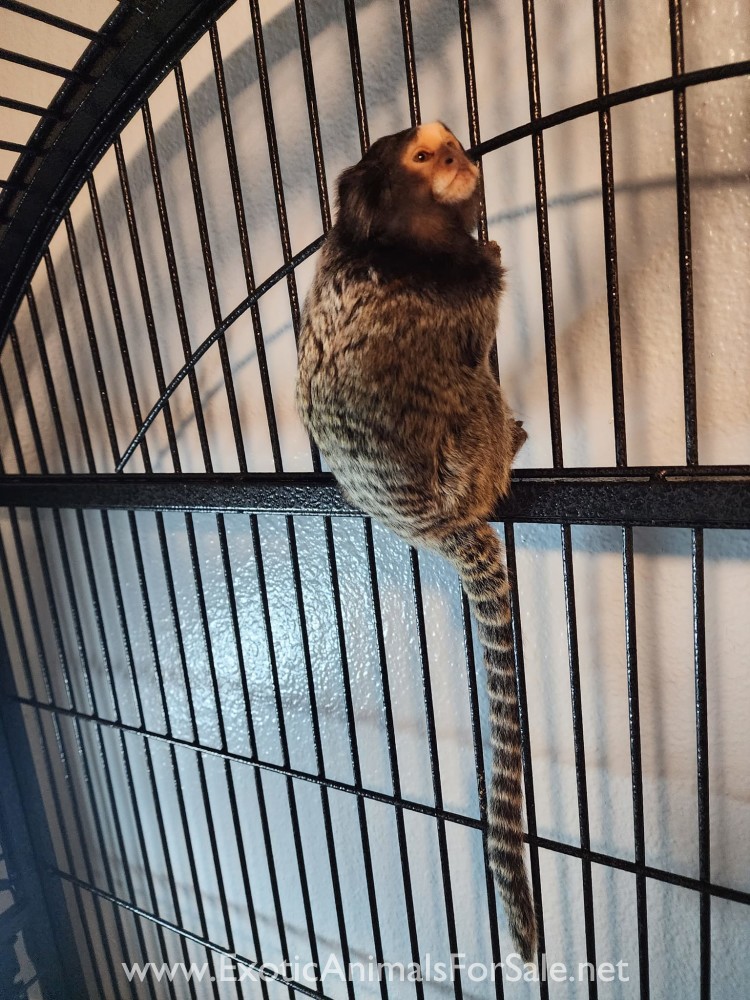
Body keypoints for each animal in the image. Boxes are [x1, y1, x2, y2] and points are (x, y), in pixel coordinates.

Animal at [295, 122, 536, 961]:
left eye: (454, 144)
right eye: (427, 158)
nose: (462, 162)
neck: (397, 241)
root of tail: (429, 524)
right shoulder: (462, 296)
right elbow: (473, 327)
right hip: (463, 460)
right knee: (474, 392)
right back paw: (510, 444)